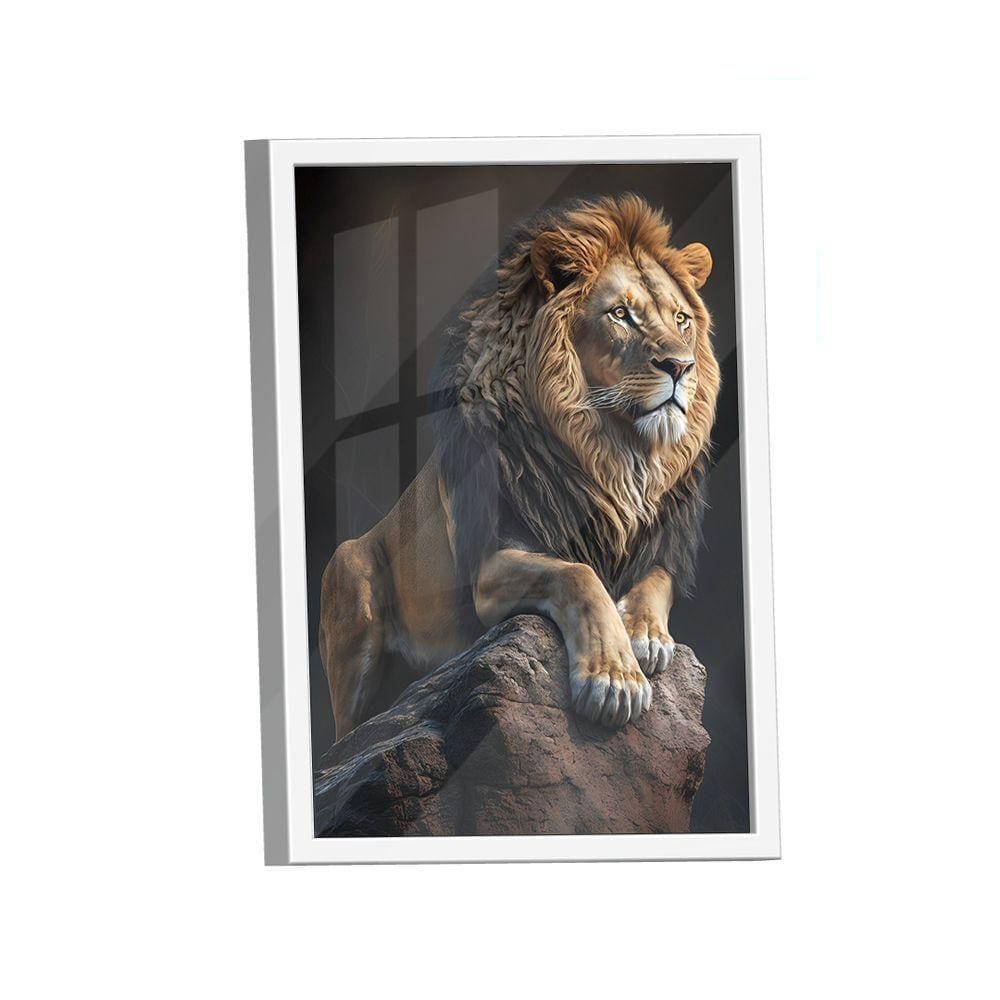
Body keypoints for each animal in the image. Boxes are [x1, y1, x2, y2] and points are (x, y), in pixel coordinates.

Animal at [319, 194, 720, 736]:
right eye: (620, 314)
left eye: (681, 319)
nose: (681, 366)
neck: (615, 455)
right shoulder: (490, 565)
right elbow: (578, 575)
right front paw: (614, 680)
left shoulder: (662, 545)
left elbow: (657, 582)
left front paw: (647, 635)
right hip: (347, 580)